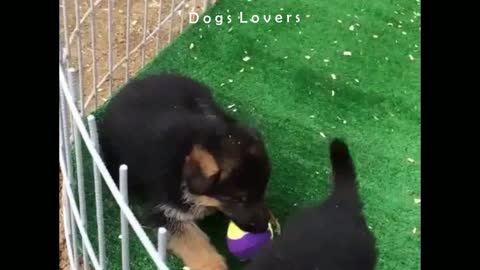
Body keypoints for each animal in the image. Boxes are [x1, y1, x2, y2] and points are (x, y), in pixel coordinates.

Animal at [98, 73, 272, 268]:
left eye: (262, 192)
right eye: (237, 199)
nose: (265, 226)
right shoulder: (165, 211)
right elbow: (195, 243)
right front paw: (214, 265)